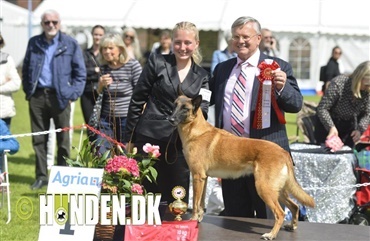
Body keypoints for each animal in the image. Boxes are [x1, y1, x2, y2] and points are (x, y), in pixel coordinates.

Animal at [169, 94, 314, 241]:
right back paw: (292, 226)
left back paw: (271, 234)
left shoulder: (197, 177)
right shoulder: (203, 178)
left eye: (185, 108)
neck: (196, 131)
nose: (170, 119)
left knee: (280, 213)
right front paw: (198, 219)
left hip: (264, 188)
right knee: (295, 206)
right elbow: (201, 203)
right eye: (174, 105)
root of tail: (283, 152)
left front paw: (192, 220)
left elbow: (195, 202)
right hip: (277, 191)